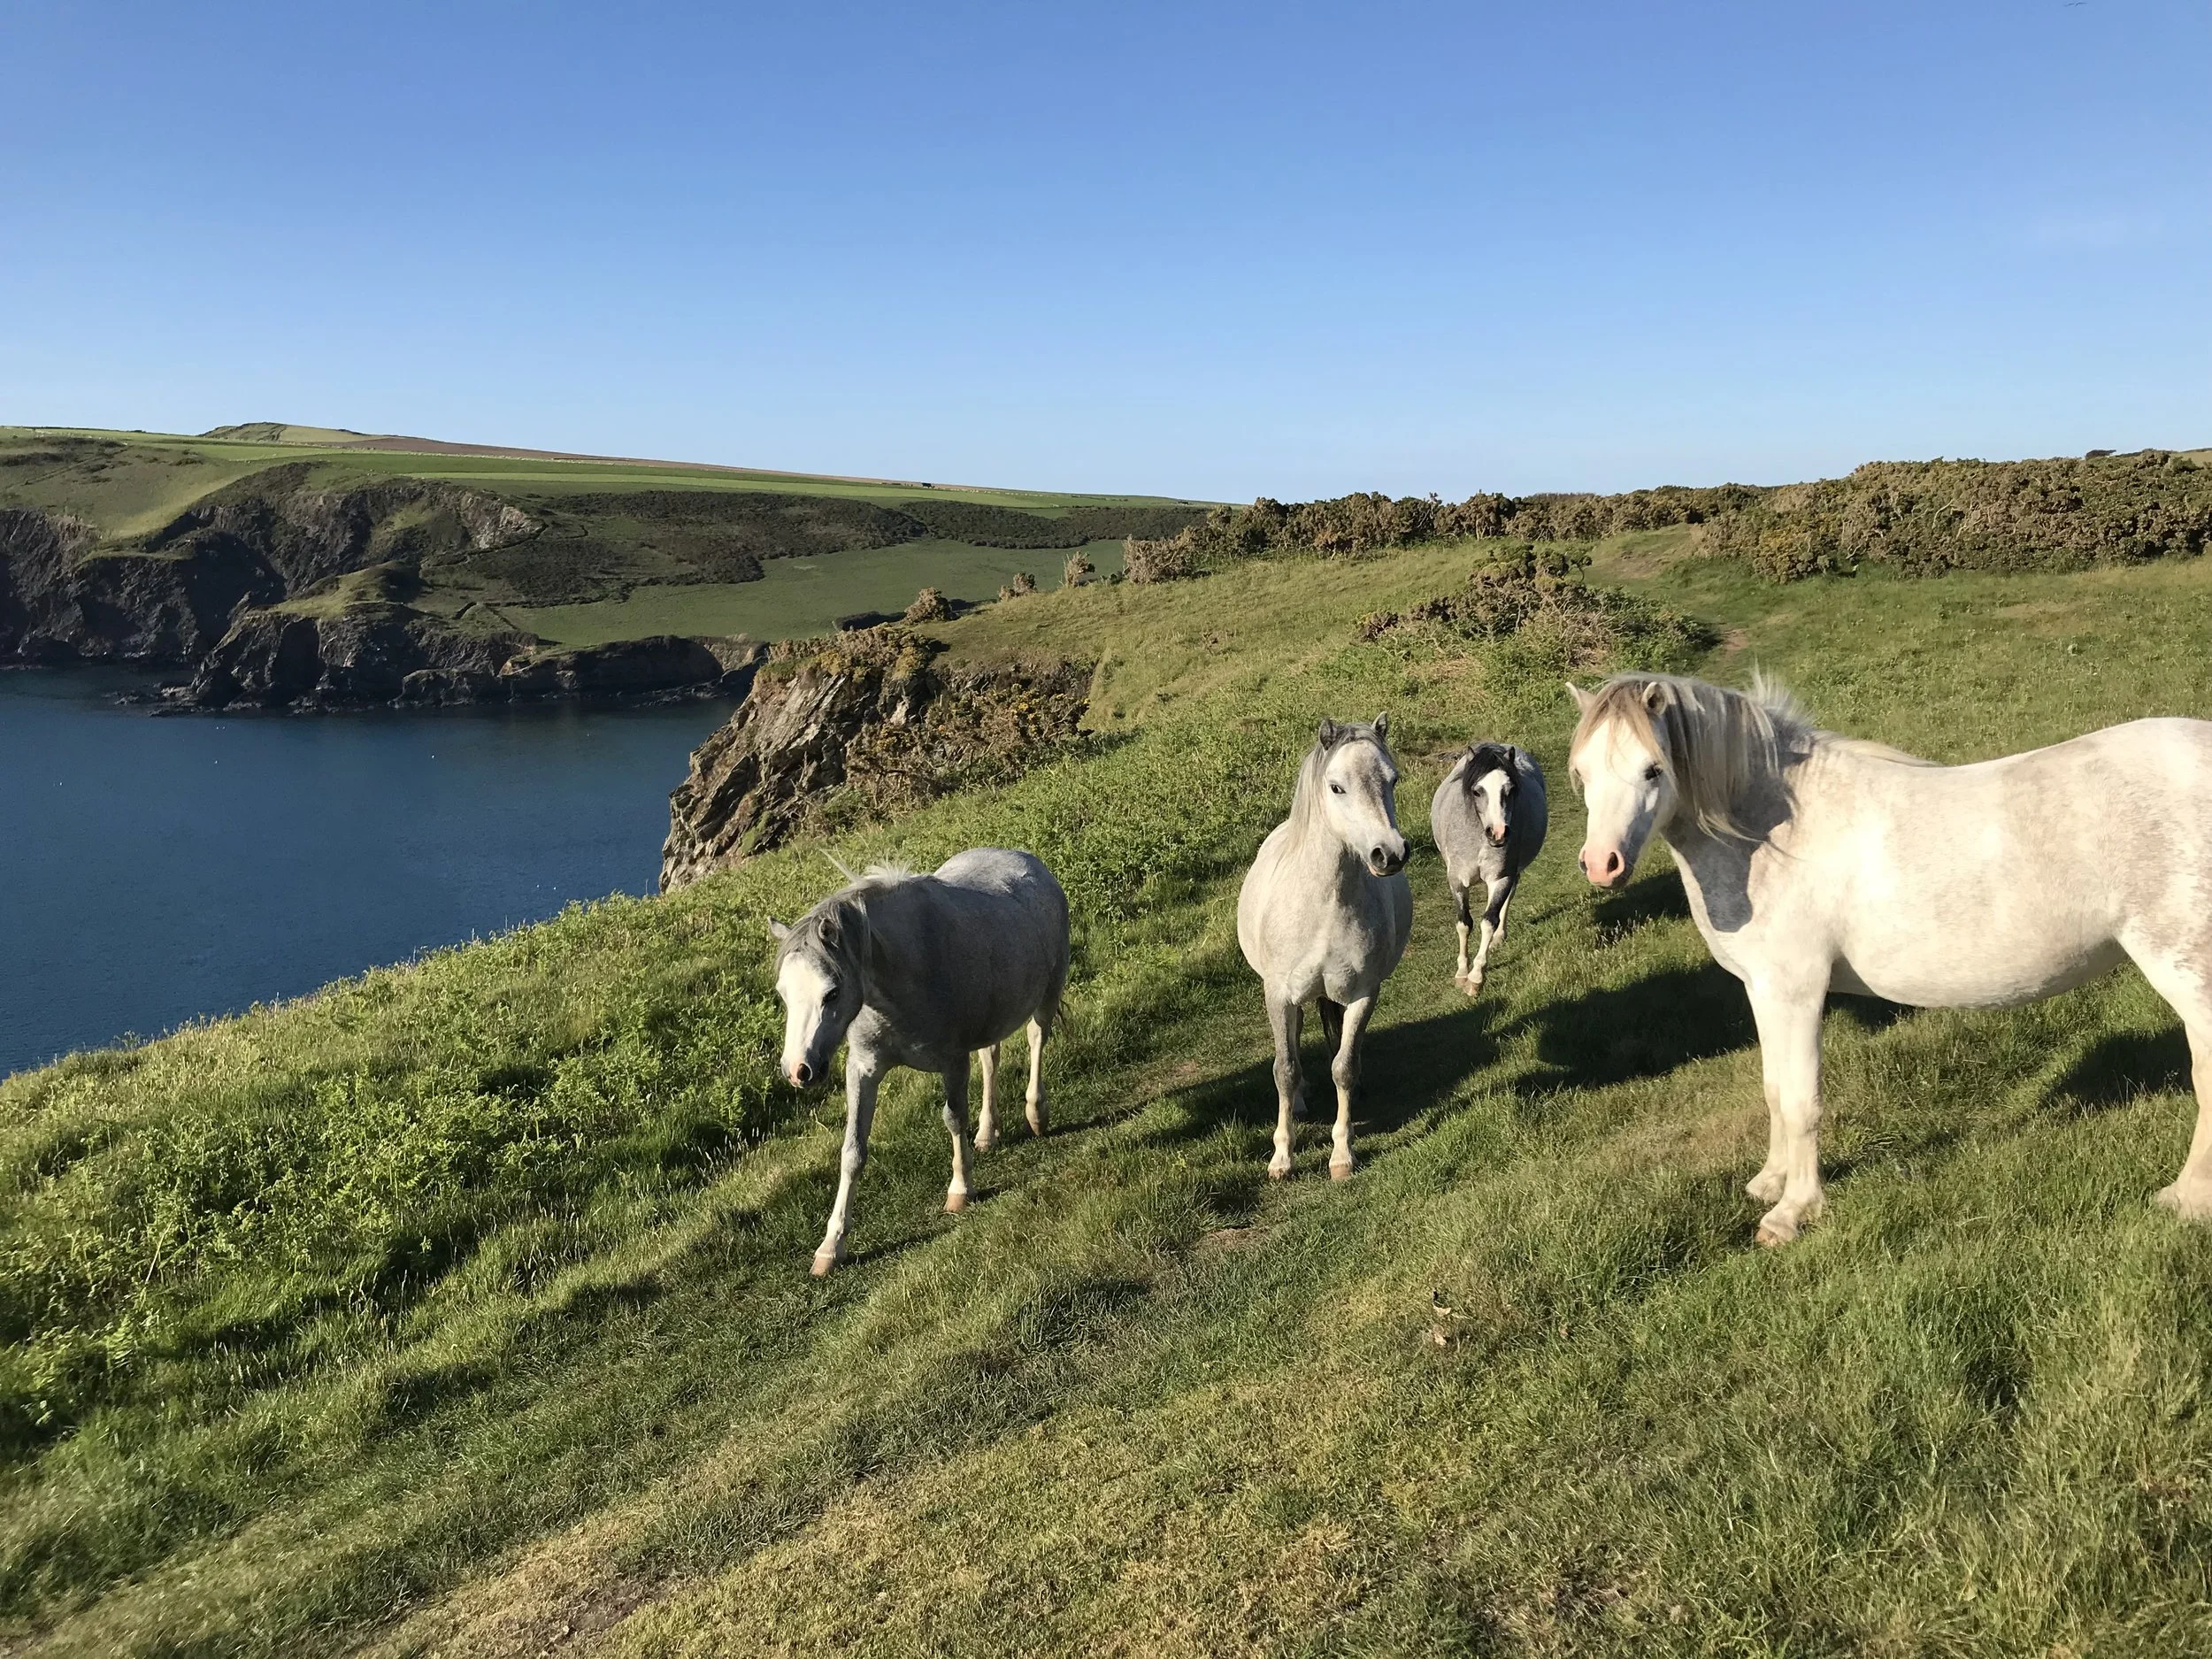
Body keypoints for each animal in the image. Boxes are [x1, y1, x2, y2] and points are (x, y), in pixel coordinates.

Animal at [768, 848, 1069, 1276]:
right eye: (783, 993)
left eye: (832, 992)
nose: (799, 1070)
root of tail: (1026, 859)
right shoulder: (863, 1070)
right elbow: (852, 1151)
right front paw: (831, 1246)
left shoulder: (953, 1062)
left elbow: (953, 1119)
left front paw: (960, 1190)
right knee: (991, 1058)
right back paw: (987, 1133)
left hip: (1047, 994)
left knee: (1036, 1039)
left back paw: (1036, 1115)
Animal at [1237, 716, 1413, 1180]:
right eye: (1337, 787)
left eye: (1393, 779)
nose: (1389, 854)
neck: (1324, 904)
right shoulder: (1278, 995)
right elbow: (1284, 1068)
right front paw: (1282, 1157)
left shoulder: (1364, 995)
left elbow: (1344, 1067)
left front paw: (1342, 1154)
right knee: (1294, 1046)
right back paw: (1298, 1103)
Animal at [1430, 740, 1548, 996]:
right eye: (1477, 791)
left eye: (1510, 789)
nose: (1498, 833)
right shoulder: (1456, 880)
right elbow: (1464, 923)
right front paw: (1461, 973)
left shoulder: (1501, 877)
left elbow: (1488, 921)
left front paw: (1475, 977)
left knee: (1508, 898)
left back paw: (1499, 937)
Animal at [1567, 670, 2212, 1245]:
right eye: (1582, 773)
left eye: (1653, 769)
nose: (1602, 864)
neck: (1776, 834)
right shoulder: (1763, 990)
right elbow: (1774, 1089)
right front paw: (1769, 1181)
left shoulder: (1796, 991)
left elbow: (1800, 1100)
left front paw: (1792, 1212)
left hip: (2184, 970)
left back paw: (2184, 1199)